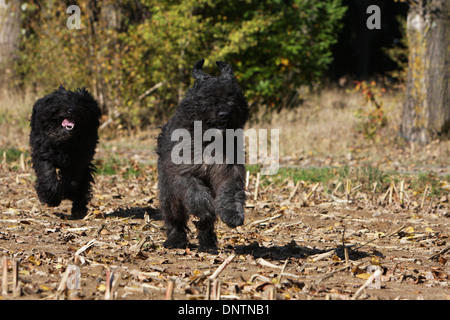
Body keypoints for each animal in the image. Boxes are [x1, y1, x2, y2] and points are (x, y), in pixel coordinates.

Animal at [30, 86, 102, 219]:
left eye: (80, 102)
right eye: (62, 100)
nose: (71, 110)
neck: (65, 142)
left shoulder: (79, 160)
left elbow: (72, 180)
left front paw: (67, 192)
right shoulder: (42, 154)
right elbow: (47, 174)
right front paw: (51, 198)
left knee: (83, 184)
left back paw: (79, 208)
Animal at [157, 58, 250, 251]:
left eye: (232, 97)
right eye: (209, 97)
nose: (224, 114)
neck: (208, 139)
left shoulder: (228, 170)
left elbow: (230, 191)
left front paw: (232, 214)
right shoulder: (183, 173)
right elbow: (196, 193)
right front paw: (205, 207)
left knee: (205, 225)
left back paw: (208, 243)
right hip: (169, 194)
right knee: (174, 217)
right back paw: (175, 239)